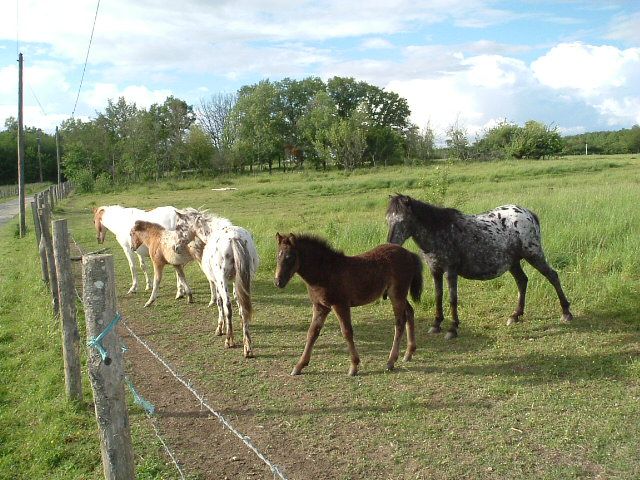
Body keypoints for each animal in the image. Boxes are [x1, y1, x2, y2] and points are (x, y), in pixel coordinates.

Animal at [175, 208, 260, 358]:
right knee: (244, 308)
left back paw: (229, 341)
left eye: (179, 227)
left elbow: (220, 304)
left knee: (227, 305)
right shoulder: (235, 283)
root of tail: (234, 238)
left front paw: (220, 329)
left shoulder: (216, 282)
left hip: (222, 281)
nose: (176, 248)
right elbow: (240, 306)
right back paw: (247, 348)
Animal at [272, 234, 422, 376]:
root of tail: (409, 253)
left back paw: (391, 361)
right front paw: (299, 366)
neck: (326, 272)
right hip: (399, 295)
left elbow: (347, 332)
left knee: (400, 322)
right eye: (277, 256)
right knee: (410, 312)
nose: (278, 282)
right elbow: (312, 332)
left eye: (290, 257)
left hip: (397, 294)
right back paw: (408, 353)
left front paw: (353, 367)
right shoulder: (320, 306)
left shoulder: (340, 305)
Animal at [384, 193, 576, 340]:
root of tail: (529, 214)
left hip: (534, 255)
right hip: (513, 262)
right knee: (522, 281)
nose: (391, 244)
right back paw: (515, 316)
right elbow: (438, 296)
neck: (439, 231)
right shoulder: (435, 271)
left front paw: (452, 329)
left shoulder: (450, 271)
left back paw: (566, 313)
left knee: (552, 276)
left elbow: (452, 299)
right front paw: (436, 324)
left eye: (402, 220)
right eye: (388, 220)